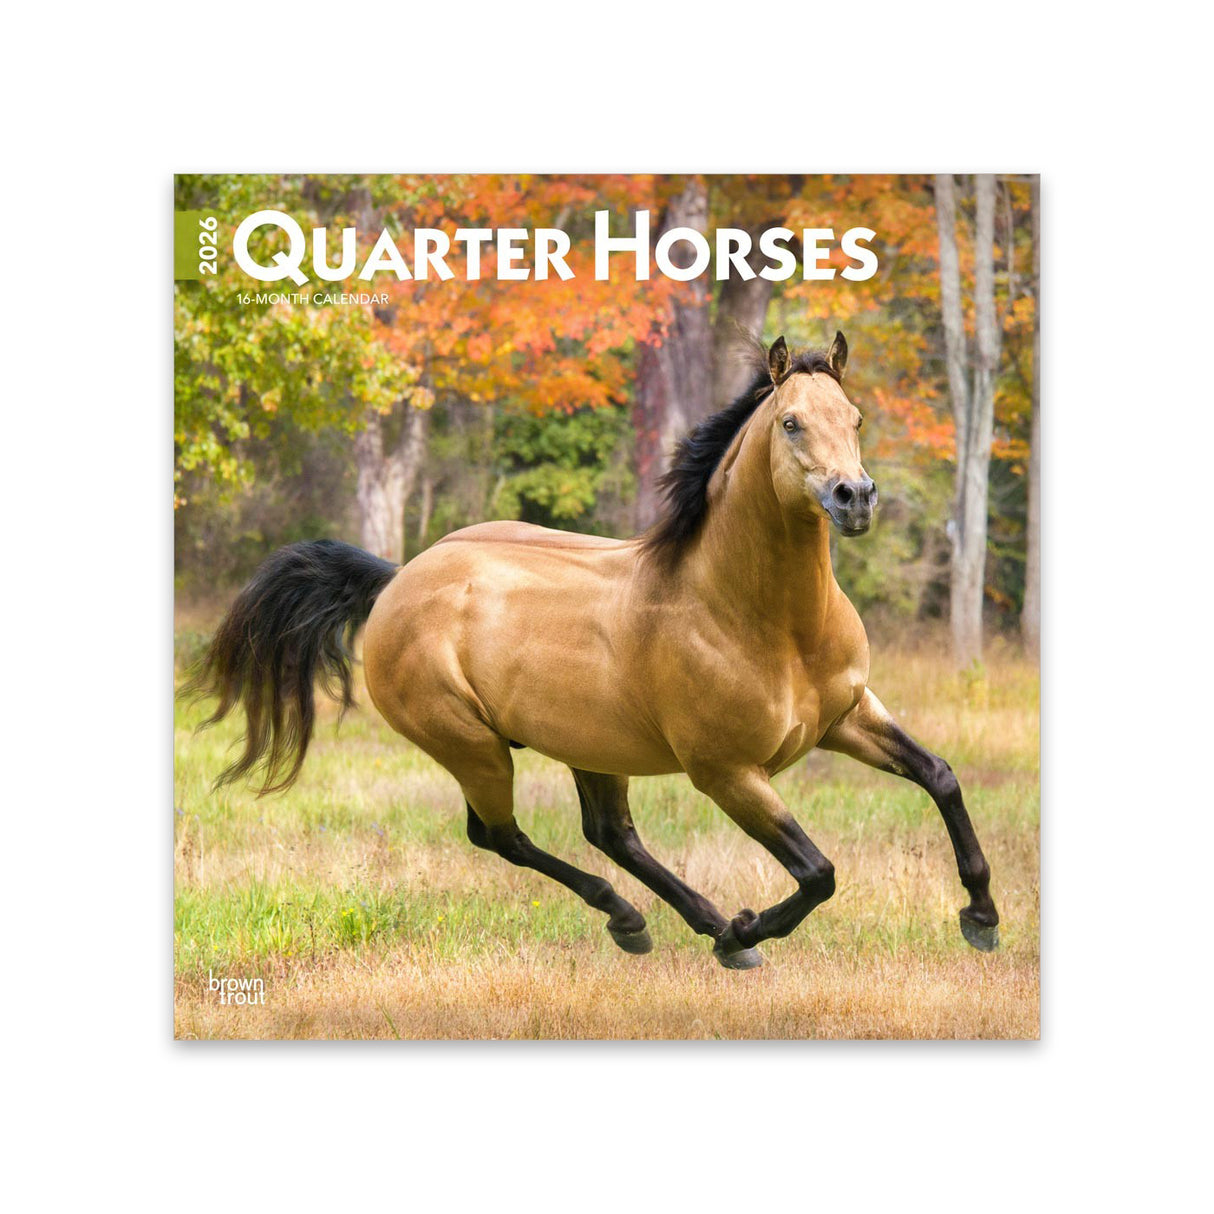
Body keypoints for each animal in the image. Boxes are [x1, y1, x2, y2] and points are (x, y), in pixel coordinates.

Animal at [189, 331, 1000, 969]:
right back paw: (653, 922)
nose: (854, 498)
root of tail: (397, 581)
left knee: (608, 833)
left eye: (855, 417)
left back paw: (689, 924)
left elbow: (941, 776)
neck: (762, 620)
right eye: (792, 422)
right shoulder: (729, 773)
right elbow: (818, 872)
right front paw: (748, 930)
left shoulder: (847, 716)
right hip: (473, 748)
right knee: (500, 836)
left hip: (591, 745)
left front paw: (982, 917)